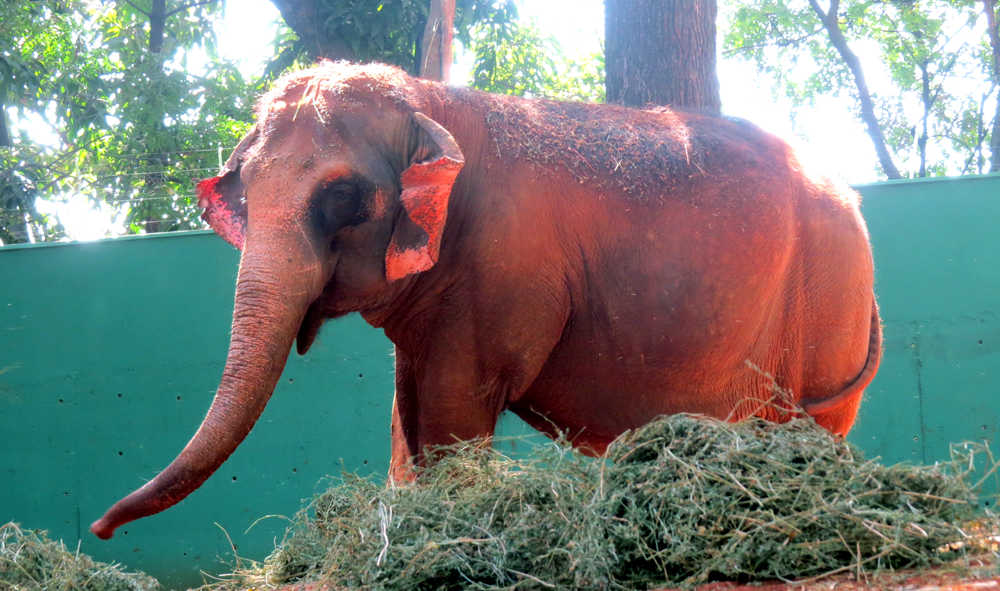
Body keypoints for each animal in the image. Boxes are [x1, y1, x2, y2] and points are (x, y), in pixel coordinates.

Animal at [90, 60, 880, 540]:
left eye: (341, 196)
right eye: (244, 193)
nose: (99, 528)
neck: (429, 98)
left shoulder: (503, 274)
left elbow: (452, 408)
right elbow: (410, 410)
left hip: (826, 310)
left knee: (813, 430)